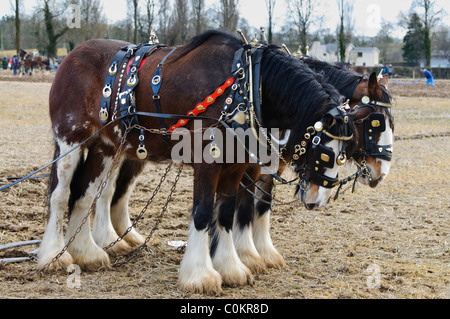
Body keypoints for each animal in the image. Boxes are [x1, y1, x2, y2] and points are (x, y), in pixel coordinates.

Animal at [37, 30, 356, 296]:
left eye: (344, 153)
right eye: (326, 153)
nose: (319, 199)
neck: (247, 87)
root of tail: (72, 55)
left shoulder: (237, 167)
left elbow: (226, 214)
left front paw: (230, 267)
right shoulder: (208, 163)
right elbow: (203, 214)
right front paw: (200, 275)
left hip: (105, 147)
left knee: (85, 194)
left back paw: (86, 253)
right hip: (70, 142)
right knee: (61, 194)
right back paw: (53, 255)